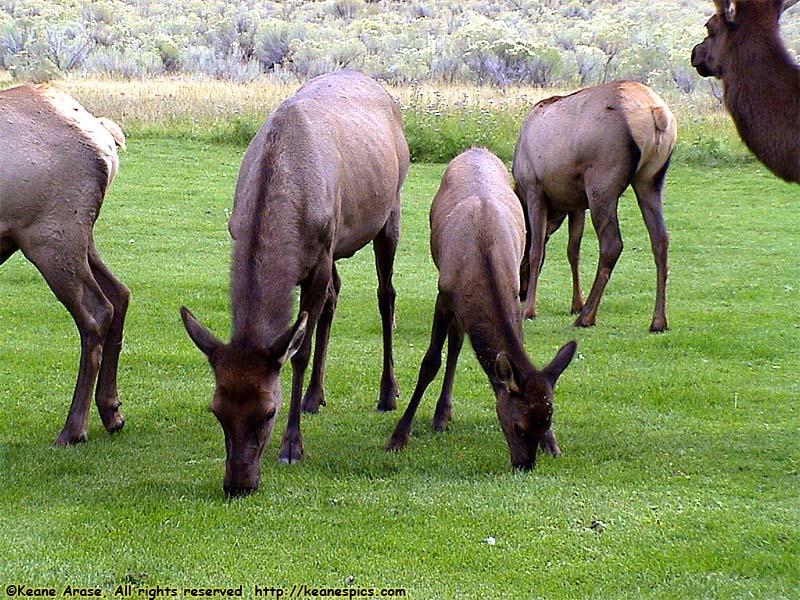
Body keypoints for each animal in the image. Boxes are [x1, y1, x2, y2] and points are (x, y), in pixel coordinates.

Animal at [1, 83, 130, 446]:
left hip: (51, 238)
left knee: (97, 313)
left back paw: (73, 429)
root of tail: (105, 138)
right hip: (78, 236)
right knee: (120, 294)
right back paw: (111, 411)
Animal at [179, 70, 410, 496]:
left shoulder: (319, 258)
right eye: (216, 410)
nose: (238, 483)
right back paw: (314, 396)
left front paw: (292, 446)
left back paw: (388, 392)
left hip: (391, 210)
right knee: (334, 297)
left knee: (385, 294)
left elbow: (298, 351)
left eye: (268, 412)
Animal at [386, 148, 576, 472]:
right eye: (518, 427)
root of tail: (476, 148)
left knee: (458, 342)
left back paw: (443, 413)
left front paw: (554, 446)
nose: (525, 465)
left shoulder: (513, 294)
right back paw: (440, 415)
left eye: (547, 421)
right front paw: (399, 436)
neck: (482, 260)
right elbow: (430, 363)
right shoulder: (444, 293)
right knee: (454, 344)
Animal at [512, 79, 676, 330]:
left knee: (612, 244)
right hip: (650, 181)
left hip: (602, 183)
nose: (521, 292)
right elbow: (573, 252)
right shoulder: (577, 205)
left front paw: (529, 311)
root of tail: (657, 114)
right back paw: (658, 321)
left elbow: (536, 250)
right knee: (661, 240)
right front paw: (575, 303)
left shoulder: (534, 189)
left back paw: (587, 316)